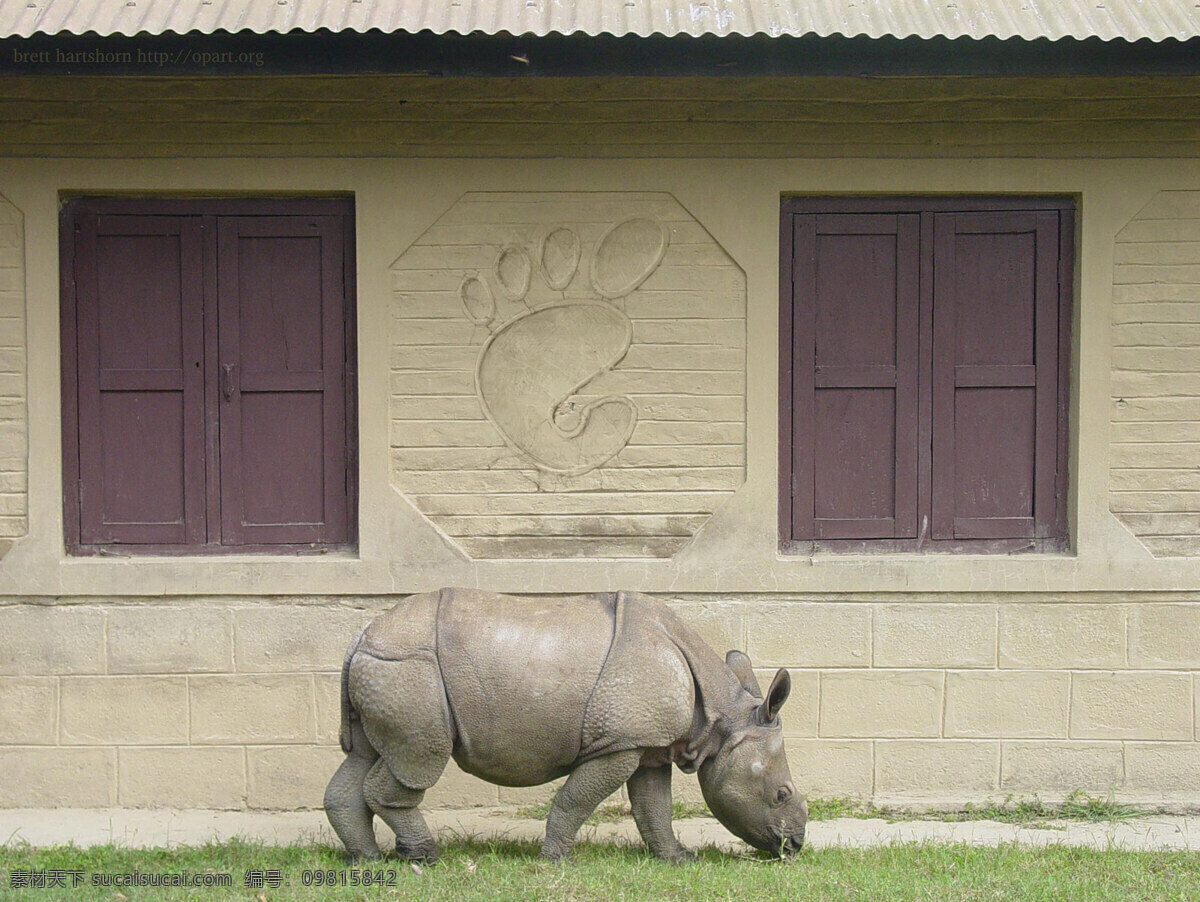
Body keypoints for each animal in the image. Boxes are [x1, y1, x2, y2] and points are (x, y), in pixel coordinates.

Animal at [324, 587, 806, 863]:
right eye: (781, 794)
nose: (796, 847)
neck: (723, 718)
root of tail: (361, 635)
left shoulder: (646, 742)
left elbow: (654, 808)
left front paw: (678, 859)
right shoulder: (619, 744)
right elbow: (576, 800)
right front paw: (555, 861)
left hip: (386, 669)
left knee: (370, 754)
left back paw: (366, 861)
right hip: (409, 668)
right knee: (419, 761)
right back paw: (424, 857)